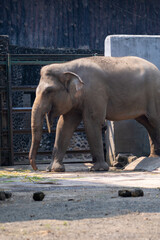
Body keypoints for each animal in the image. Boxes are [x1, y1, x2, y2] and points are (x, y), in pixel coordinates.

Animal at [29, 55, 160, 172]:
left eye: (48, 91)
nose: (36, 169)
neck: (66, 66)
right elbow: (65, 124)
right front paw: (54, 169)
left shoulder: (95, 93)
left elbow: (91, 122)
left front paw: (98, 169)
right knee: (148, 123)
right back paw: (154, 157)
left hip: (155, 94)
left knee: (154, 121)